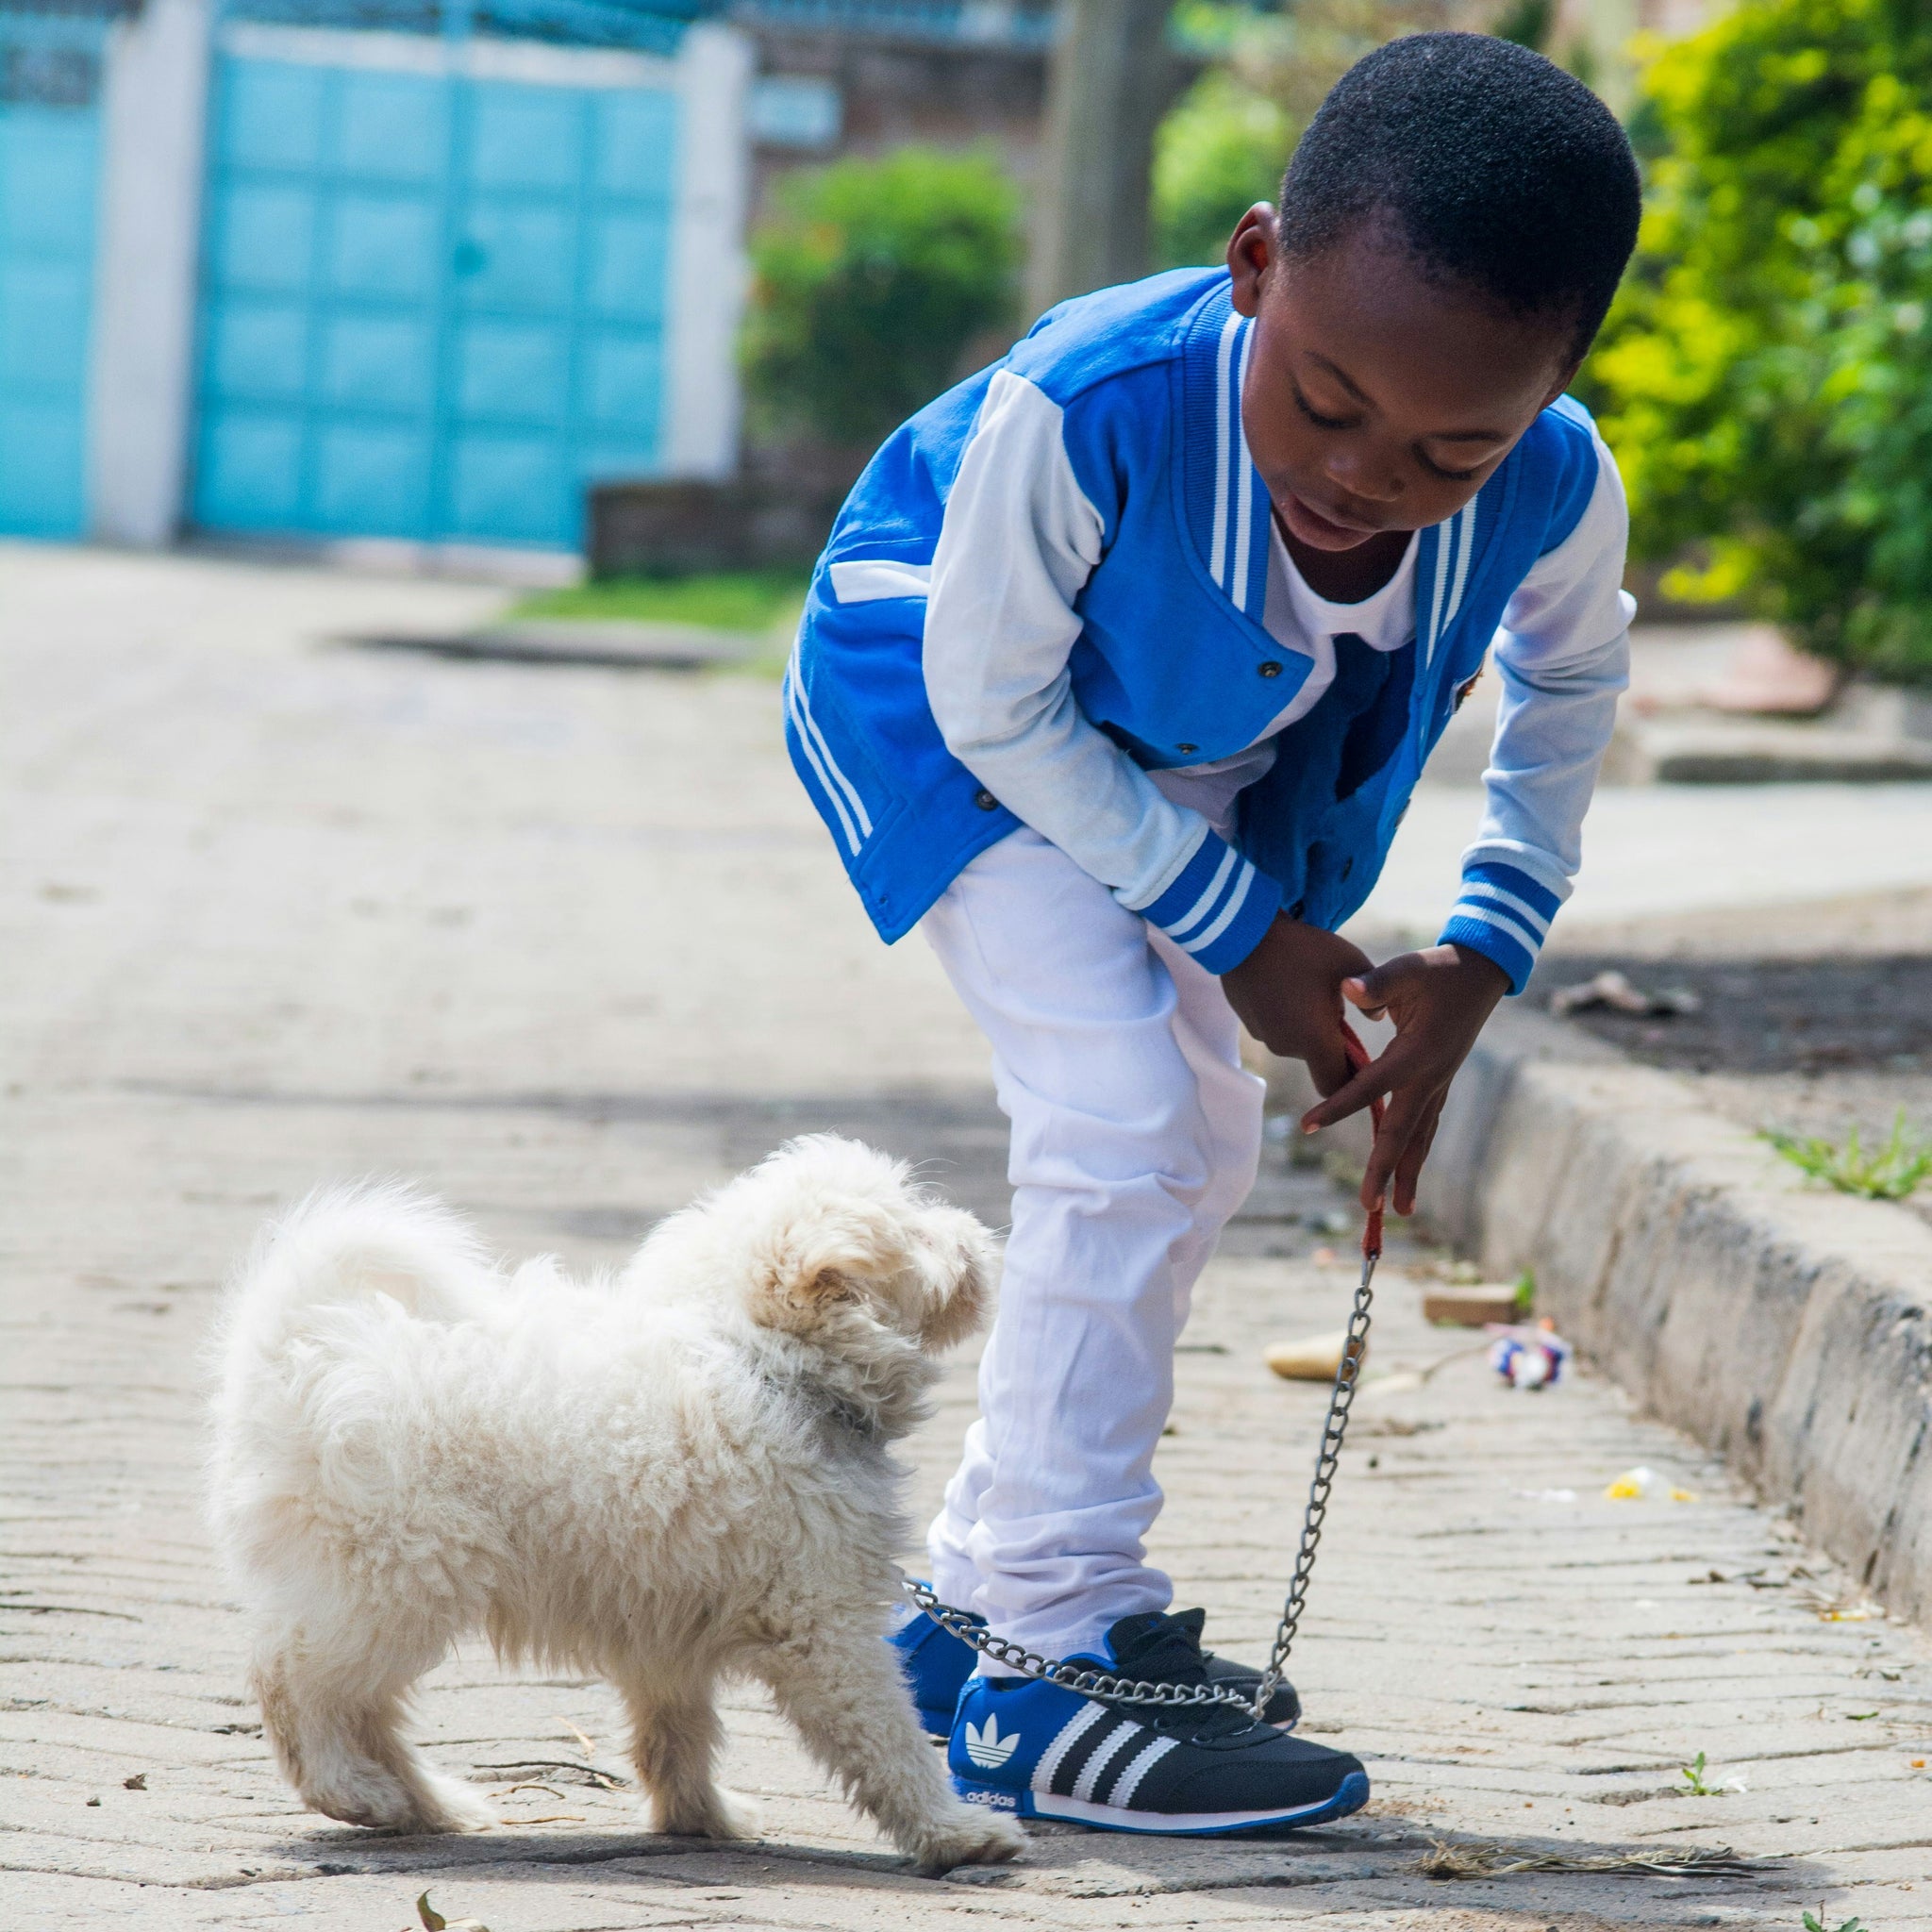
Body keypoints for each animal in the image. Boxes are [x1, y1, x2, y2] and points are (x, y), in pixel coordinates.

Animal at [208, 1128, 1027, 1870]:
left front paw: (700, 1816)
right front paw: (957, 1833)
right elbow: (888, 1739)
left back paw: (429, 1805)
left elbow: (676, 1733)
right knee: (292, 1679)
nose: (981, 1231)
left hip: (384, 1592)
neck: (766, 1366)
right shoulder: (826, 1628)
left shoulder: (666, 1624)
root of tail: (296, 1356)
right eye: (917, 1227)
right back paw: (351, 1791)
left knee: (363, 1709)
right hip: (393, 1578)